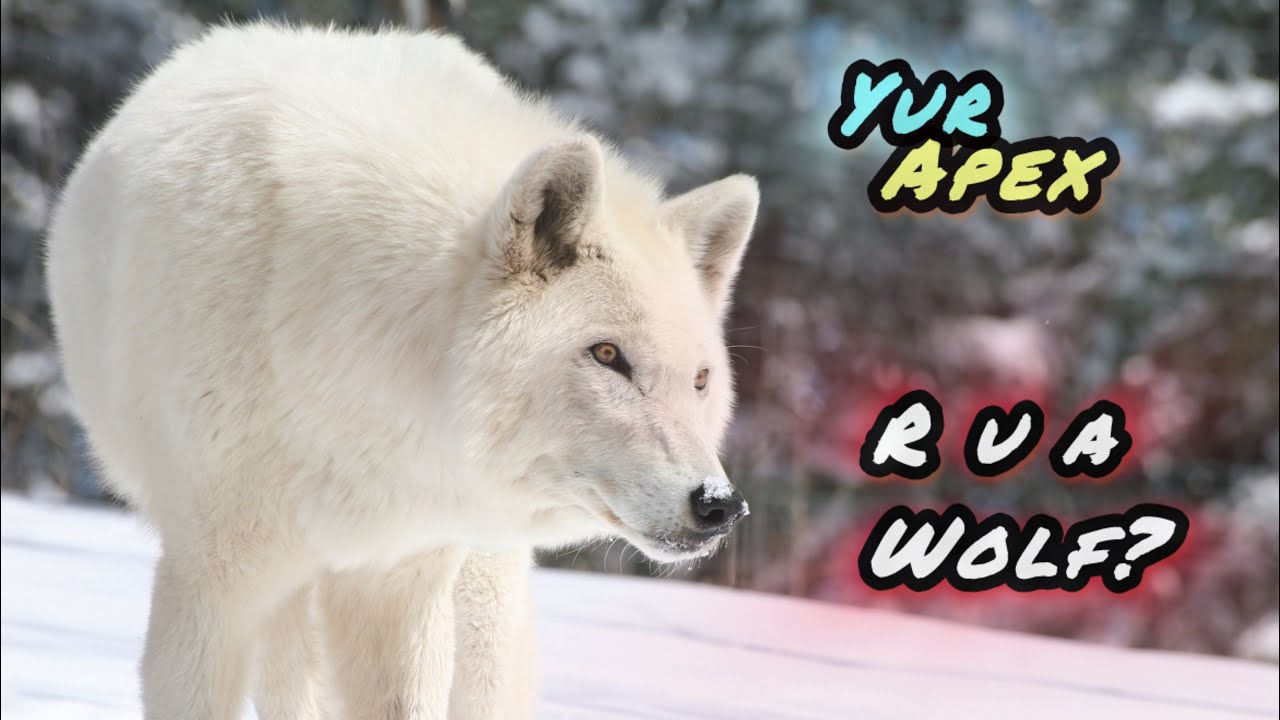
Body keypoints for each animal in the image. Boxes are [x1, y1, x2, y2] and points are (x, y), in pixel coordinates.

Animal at [45, 22, 757, 720]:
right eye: (608, 355)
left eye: (699, 380)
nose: (719, 504)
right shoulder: (210, 582)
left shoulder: (400, 576)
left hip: (475, 588)